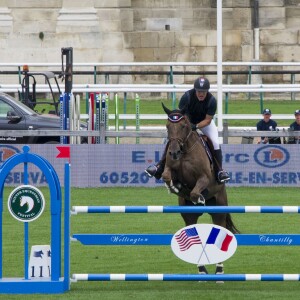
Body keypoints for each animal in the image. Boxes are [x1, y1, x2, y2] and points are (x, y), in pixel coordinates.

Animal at [162, 103, 239, 276]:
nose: (174, 152)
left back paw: (219, 270)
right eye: (168, 126)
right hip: (188, 214)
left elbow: (195, 190)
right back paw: (202, 270)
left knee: (220, 228)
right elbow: (166, 175)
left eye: (183, 126)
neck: (184, 150)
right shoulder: (170, 168)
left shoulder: (204, 177)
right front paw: (174, 186)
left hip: (219, 209)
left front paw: (198, 197)